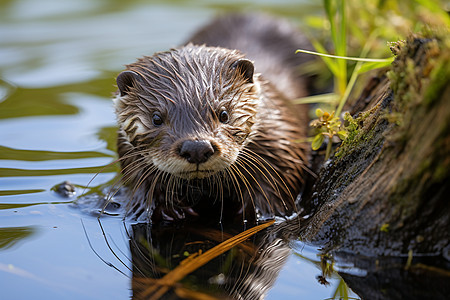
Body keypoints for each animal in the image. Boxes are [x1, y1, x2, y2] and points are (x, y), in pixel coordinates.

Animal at [112, 14, 312, 225]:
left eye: (224, 114)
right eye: (156, 118)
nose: (196, 148)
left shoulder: (282, 142)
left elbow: (275, 186)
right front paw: (168, 209)